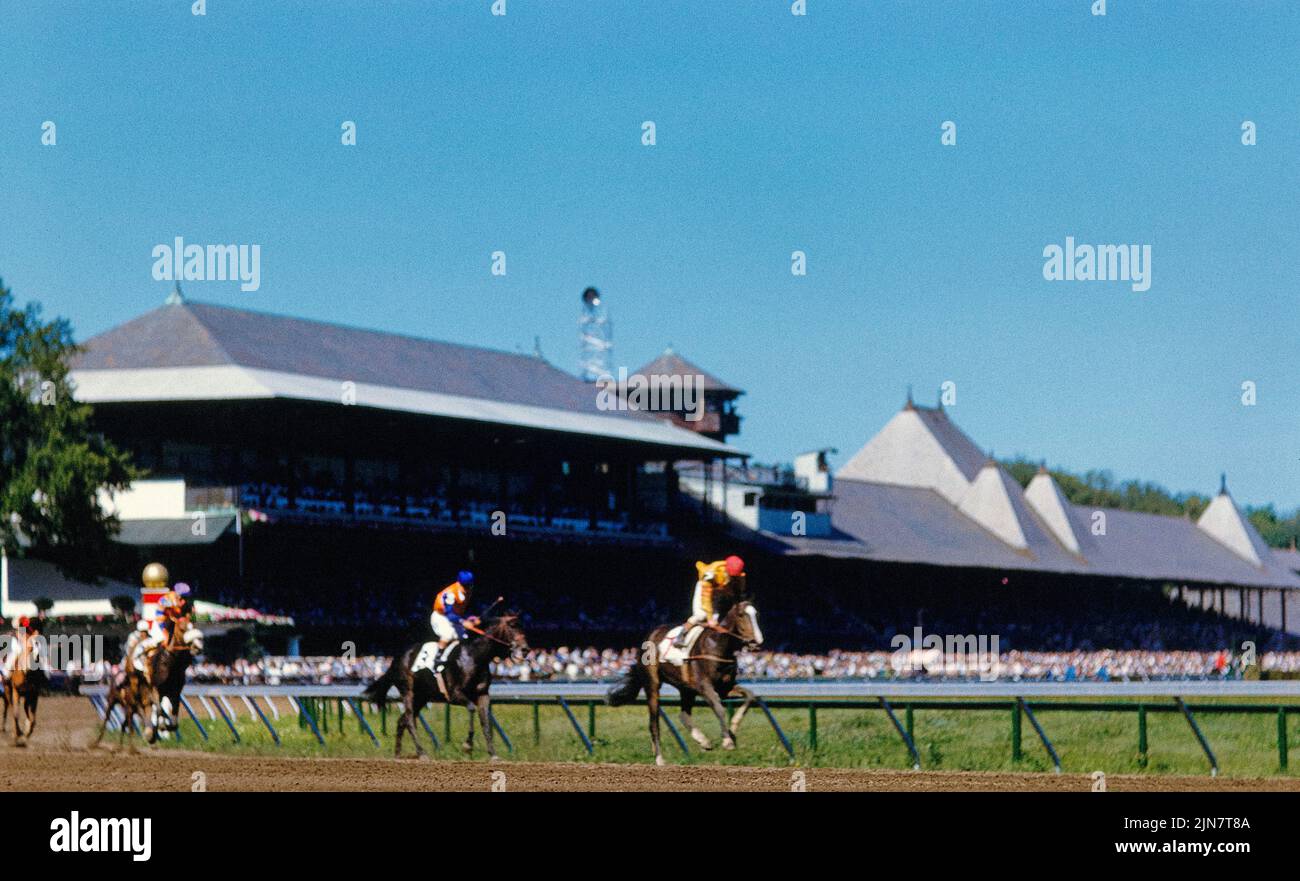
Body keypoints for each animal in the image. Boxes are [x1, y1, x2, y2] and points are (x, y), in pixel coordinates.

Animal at [364, 613, 525, 764]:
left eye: (521, 626)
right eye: (512, 626)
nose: (525, 649)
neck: (474, 657)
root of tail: (396, 659)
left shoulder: (483, 695)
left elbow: (485, 723)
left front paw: (493, 754)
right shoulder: (454, 694)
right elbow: (472, 708)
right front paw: (468, 745)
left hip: (422, 697)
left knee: (402, 720)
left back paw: (398, 754)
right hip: (408, 692)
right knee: (409, 720)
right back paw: (421, 753)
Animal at [605, 600, 759, 764]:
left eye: (756, 614)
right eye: (741, 615)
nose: (755, 641)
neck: (717, 646)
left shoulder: (725, 688)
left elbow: (749, 696)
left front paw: (733, 730)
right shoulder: (704, 687)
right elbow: (719, 708)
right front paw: (728, 741)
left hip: (686, 689)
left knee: (683, 715)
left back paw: (703, 741)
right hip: (652, 685)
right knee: (654, 723)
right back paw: (660, 759)